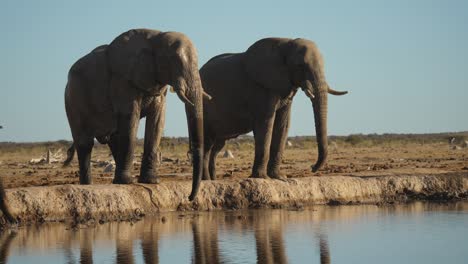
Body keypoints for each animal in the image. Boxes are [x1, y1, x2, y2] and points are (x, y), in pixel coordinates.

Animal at [63, 28, 207, 199]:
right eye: (173, 60)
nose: (189, 198)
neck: (156, 36)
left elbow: (157, 120)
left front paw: (151, 181)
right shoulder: (122, 81)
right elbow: (131, 116)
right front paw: (128, 183)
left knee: (113, 138)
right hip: (72, 99)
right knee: (85, 143)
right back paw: (89, 185)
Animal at [201, 37, 348, 180]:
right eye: (300, 66)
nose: (312, 167)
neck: (286, 44)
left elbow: (283, 124)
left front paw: (279, 177)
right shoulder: (261, 87)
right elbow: (266, 123)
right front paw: (261, 177)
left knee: (216, 146)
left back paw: (212, 179)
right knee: (207, 143)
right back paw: (206, 180)